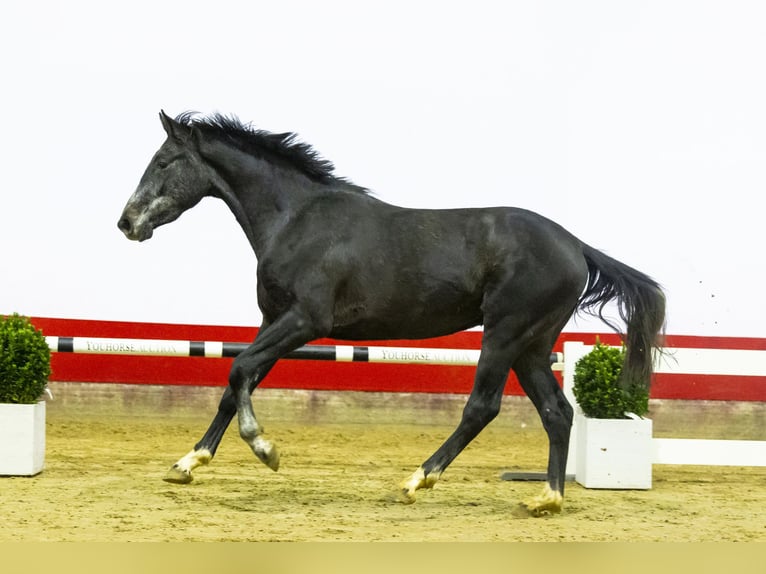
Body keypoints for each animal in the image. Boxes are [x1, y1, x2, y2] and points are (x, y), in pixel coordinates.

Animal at [117, 112, 664, 516]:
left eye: (163, 161)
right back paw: (547, 498)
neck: (297, 220)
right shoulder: (273, 321)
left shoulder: (305, 321)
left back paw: (417, 480)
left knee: (483, 407)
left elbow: (239, 369)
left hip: (505, 334)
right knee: (557, 412)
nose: (126, 222)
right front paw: (188, 463)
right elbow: (235, 386)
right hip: (532, 346)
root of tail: (577, 246)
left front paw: (265, 450)